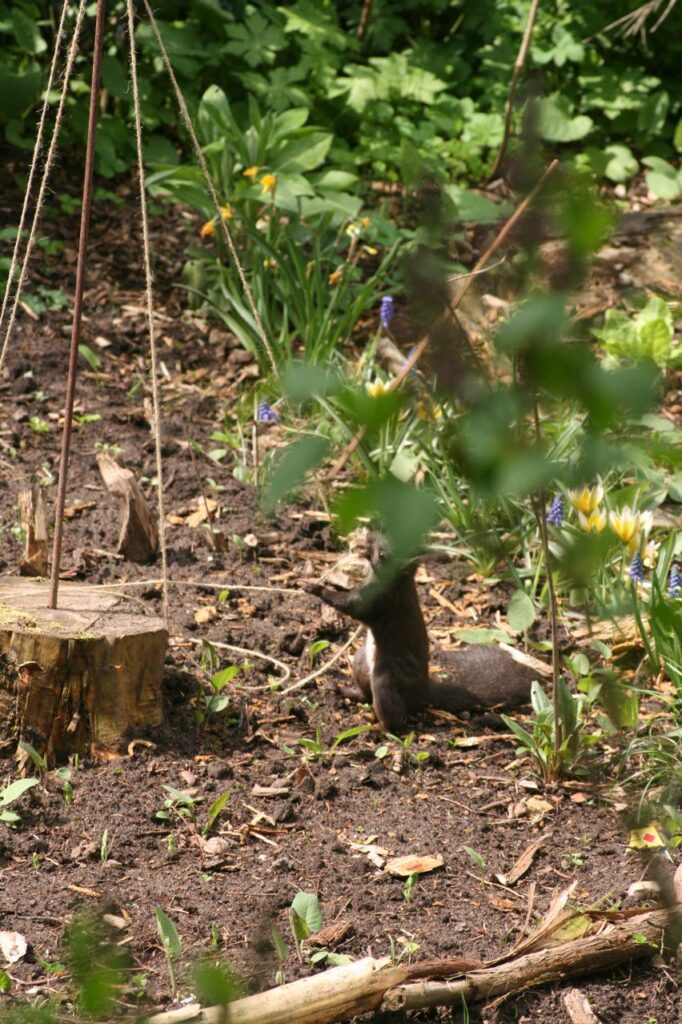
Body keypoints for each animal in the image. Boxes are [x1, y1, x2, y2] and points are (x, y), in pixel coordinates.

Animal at [306, 534, 540, 733]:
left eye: (382, 554)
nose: (368, 538)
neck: (398, 581)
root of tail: (422, 692)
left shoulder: (379, 599)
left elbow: (351, 606)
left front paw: (315, 588)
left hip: (386, 679)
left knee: (393, 714)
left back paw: (382, 730)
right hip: (360, 662)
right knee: (365, 694)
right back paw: (343, 691)